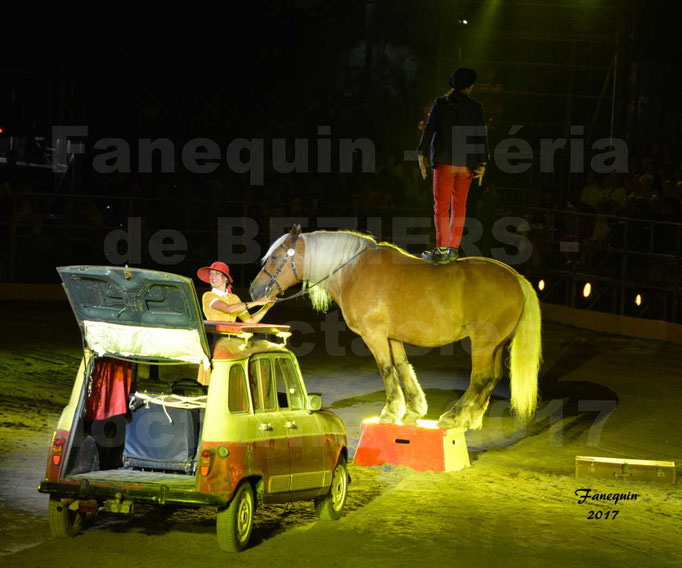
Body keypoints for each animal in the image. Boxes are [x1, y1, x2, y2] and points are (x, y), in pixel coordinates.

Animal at [247, 224, 540, 428]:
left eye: (276, 258)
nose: (254, 290)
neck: (353, 271)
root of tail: (516, 278)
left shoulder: (374, 336)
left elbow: (386, 369)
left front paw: (389, 412)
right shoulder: (393, 337)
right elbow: (402, 367)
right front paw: (413, 409)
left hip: (483, 343)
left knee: (479, 378)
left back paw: (454, 416)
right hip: (497, 345)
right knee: (492, 378)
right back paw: (472, 417)